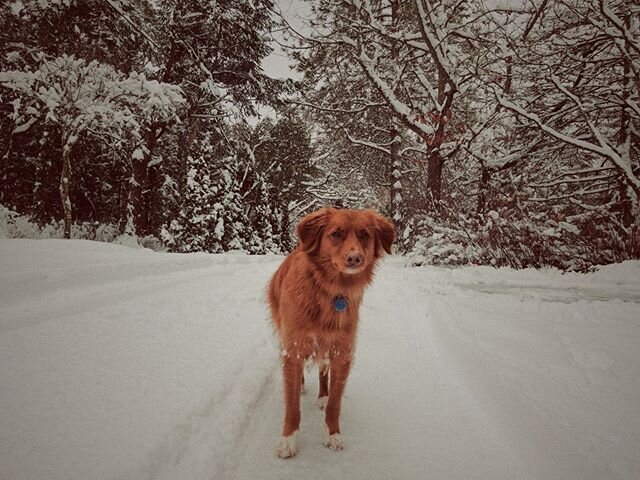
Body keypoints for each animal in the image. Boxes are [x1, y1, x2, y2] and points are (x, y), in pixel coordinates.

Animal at [266, 206, 396, 458]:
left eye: (365, 235)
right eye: (336, 234)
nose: (355, 258)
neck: (331, 290)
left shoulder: (342, 352)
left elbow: (336, 403)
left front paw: (333, 434)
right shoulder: (293, 347)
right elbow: (292, 405)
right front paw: (288, 440)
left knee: (322, 371)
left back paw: (322, 396)